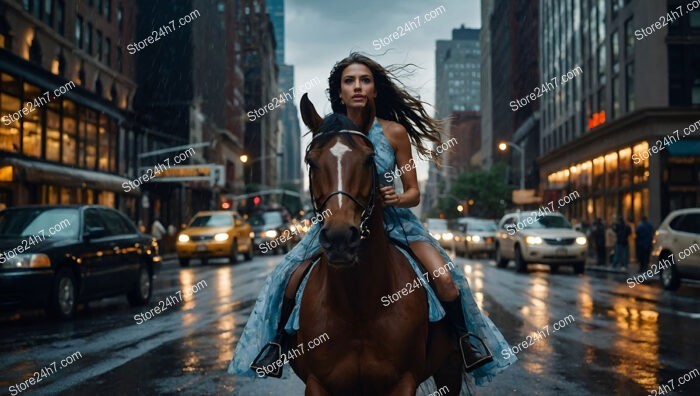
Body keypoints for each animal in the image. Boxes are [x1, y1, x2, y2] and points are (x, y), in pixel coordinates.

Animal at [288, 94, 462, 394]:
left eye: (369, 159)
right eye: (311, 161)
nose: (340, 238)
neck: (359, 304)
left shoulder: (404, 381)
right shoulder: (317, 383)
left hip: (451, 371)